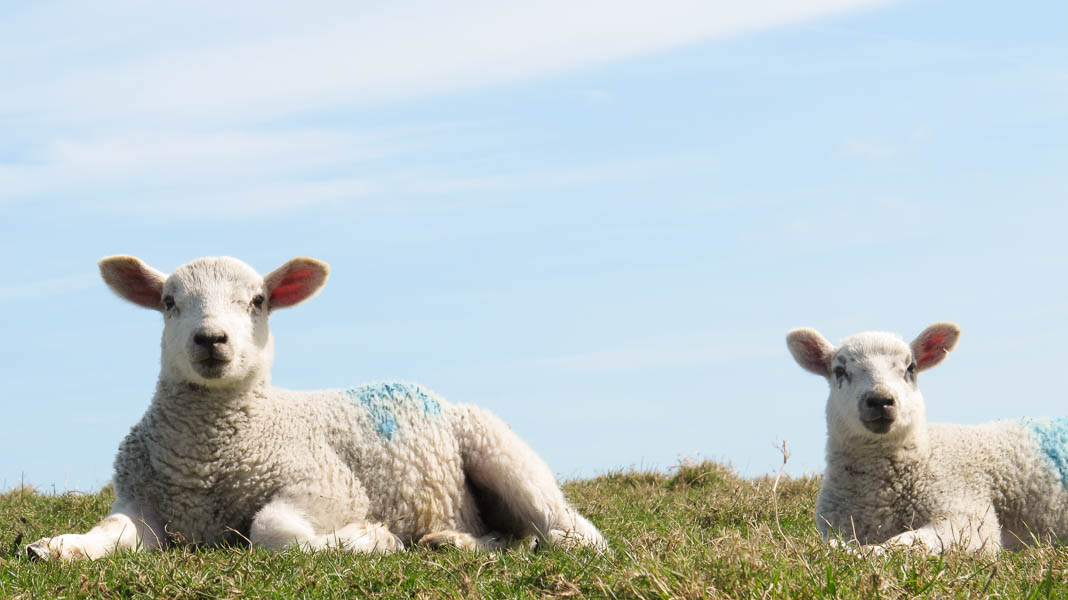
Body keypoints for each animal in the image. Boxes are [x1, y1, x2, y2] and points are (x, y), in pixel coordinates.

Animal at [27, 254, 610, 559]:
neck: (210, 458)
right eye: (169, 302)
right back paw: (451, 540)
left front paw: (368, 538)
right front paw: (57, 545)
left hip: (500, 448)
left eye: (257, 301)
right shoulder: (142, 503)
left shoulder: (329, 484)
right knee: (501, 534)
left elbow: (271, 529)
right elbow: (111, 532)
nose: (210, 339)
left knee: (568, 529)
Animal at [790, 322, 1068, 550]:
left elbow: (909, 542)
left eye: (910, 368)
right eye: (839, 371)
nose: (880, 400)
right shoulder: (837, 526)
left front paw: (870, 553)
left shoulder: (968, 515)